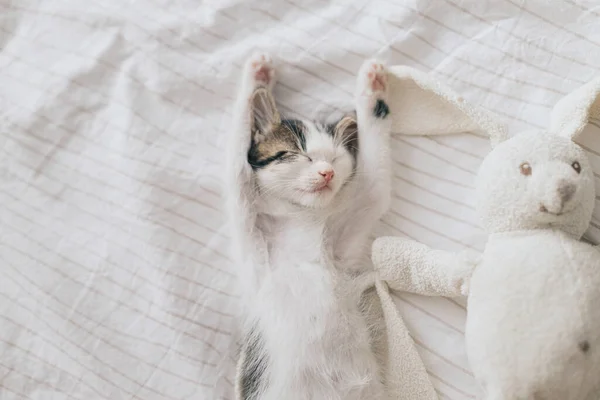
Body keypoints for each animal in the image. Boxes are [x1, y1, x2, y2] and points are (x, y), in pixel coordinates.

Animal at [227, 54, 392, 400]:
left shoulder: (341, 250)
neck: (300, 223)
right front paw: (255, 76)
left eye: (336, 159)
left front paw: (373, 90)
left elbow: (375, 184)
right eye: (299, 154)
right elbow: (236, 170)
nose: (327, 172)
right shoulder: (252, 248)